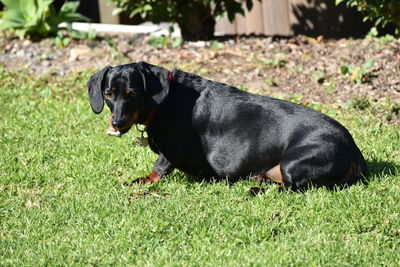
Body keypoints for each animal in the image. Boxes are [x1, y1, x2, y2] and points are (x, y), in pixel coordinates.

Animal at [89, 61, 368, 189]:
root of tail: (354, 149)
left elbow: (159, 167)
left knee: (293, 186)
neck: (164, 101)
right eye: (109, 94)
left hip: (293, 163)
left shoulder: (173, 150)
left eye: (133, 93)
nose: (116, 122)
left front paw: (143, 180)